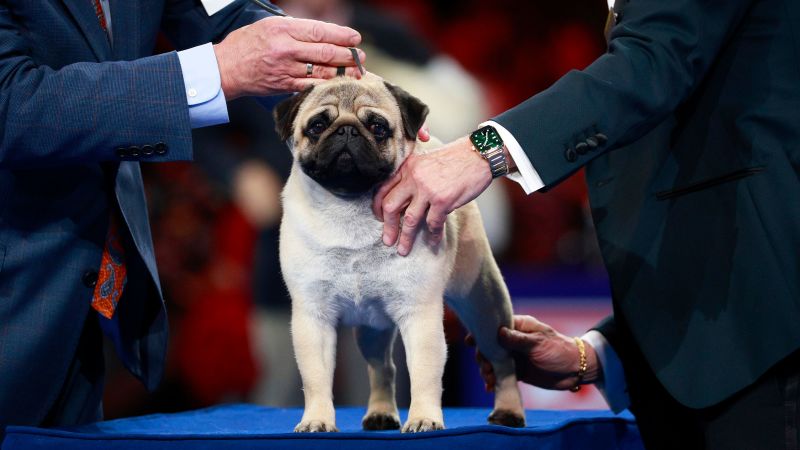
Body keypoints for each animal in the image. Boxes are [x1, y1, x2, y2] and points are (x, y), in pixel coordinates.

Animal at [276, 75, 524, 434]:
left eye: (378, 127)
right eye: (318, 125)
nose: (346, 130)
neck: (349, 208)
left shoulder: (419, 315)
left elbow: (424, 374)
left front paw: (423, 418)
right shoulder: (313, 317)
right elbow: (316, 378)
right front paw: (317, 419)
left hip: (485, 306)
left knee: (503, 361)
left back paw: (509, 411)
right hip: (372, 329)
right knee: (383, 368)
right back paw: (381, 413)